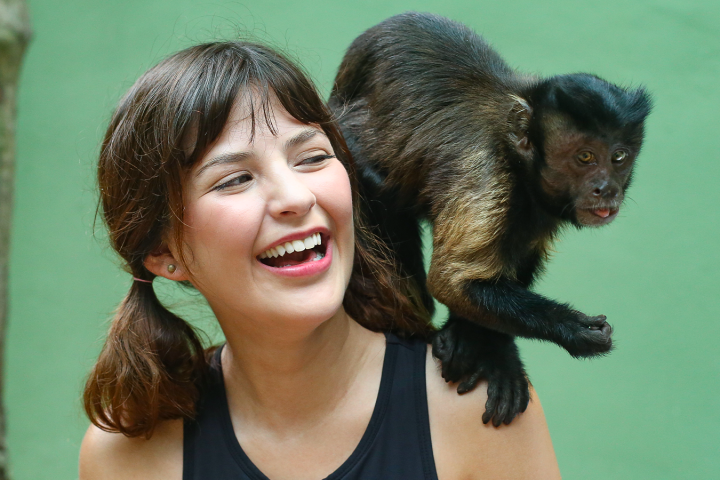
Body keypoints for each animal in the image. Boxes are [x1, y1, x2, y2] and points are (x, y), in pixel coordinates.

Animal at [328, 12, 651, 426]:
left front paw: (489, 349)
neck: (519, 164)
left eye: (618, 157)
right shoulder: (488, 175)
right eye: (585, 157)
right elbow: (451, 281)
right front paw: (571, 330)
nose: (606, 188)